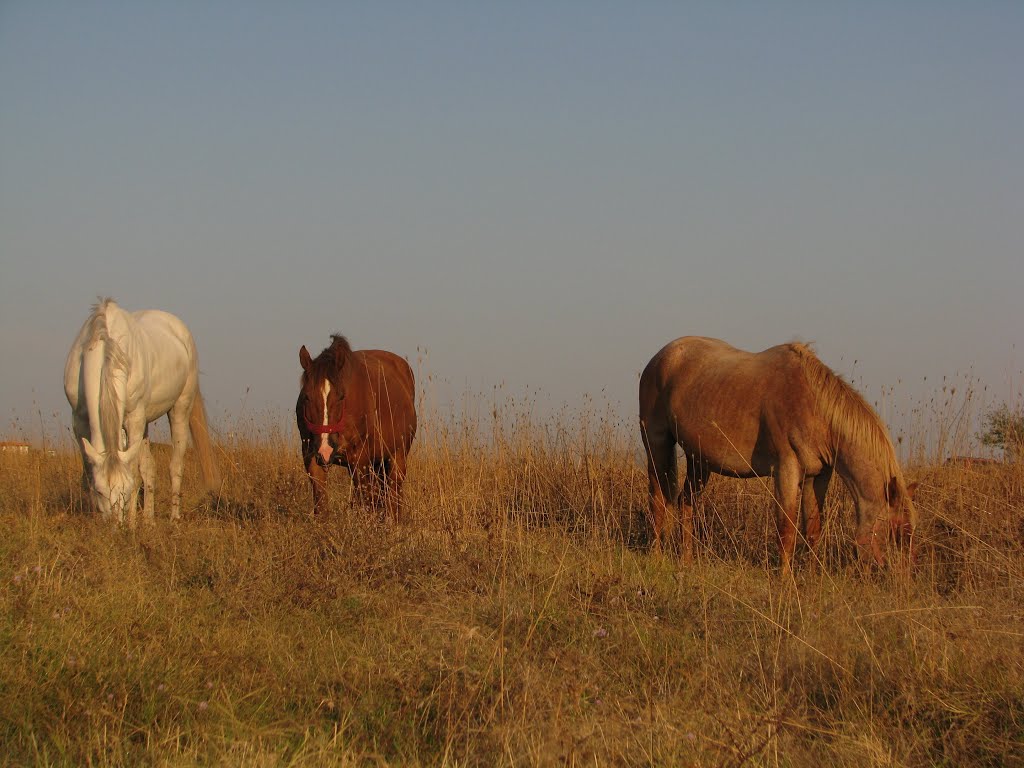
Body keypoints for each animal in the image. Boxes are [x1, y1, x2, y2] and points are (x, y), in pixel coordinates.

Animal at [63, 296, 220, 528]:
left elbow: (134, 474)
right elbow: (88, 474)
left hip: (179, 409)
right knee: (149, 468)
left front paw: (131, 524)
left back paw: (173, 517)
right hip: (144, 422)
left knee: (176, 465)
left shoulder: (134, 420)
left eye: (125, 491)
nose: (115, 526)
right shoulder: (79, 421)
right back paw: (148, 519)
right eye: (100, 491)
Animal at [296, 335, 415, 518]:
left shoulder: (360, 462)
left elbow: (367, 501)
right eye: (307, 397)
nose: (325, 450)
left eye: (341, 396)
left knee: (393, 494)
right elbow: (321, 504)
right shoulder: (312, 459)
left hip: (397, 457)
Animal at [638, 335, 921, 573]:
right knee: (658, 500)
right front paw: (786, 580)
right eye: (896, 530)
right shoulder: (786, 470)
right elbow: (786, 530)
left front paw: (812, 576)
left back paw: (686, 560)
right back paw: (656, 556)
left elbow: (813, 529)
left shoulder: (818, 476)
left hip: (699, 460)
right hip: (657, 445)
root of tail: (660, 357)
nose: (902, 579)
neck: (815, 408)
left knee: (686, 501)